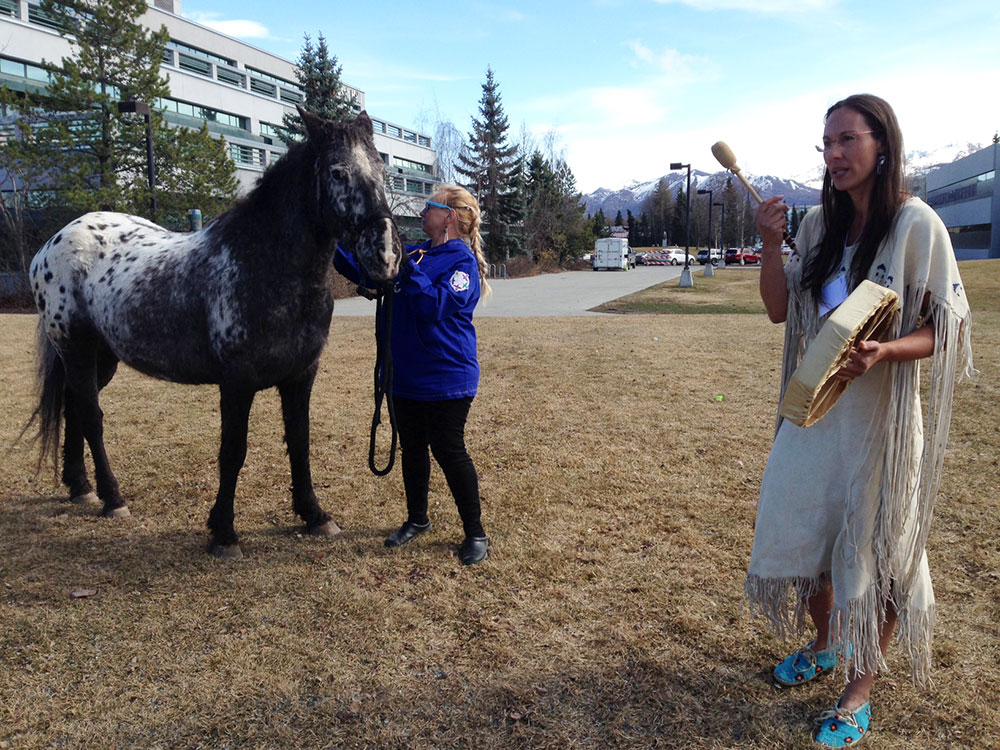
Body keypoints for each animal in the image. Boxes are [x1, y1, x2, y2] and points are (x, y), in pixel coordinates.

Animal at [28, 110, 402, 560]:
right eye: (337, 171)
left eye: (382, 170)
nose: (384, 255)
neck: (263, 263)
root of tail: (53, 242)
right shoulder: (236, 383)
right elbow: (233, 452)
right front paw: (224, 533)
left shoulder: (300, 376)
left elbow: (300, 442)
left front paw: (314, 515)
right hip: (77, 349)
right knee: (90, 416)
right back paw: (112, 498)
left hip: (100, 358)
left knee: (73, 408)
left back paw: (80, 488)